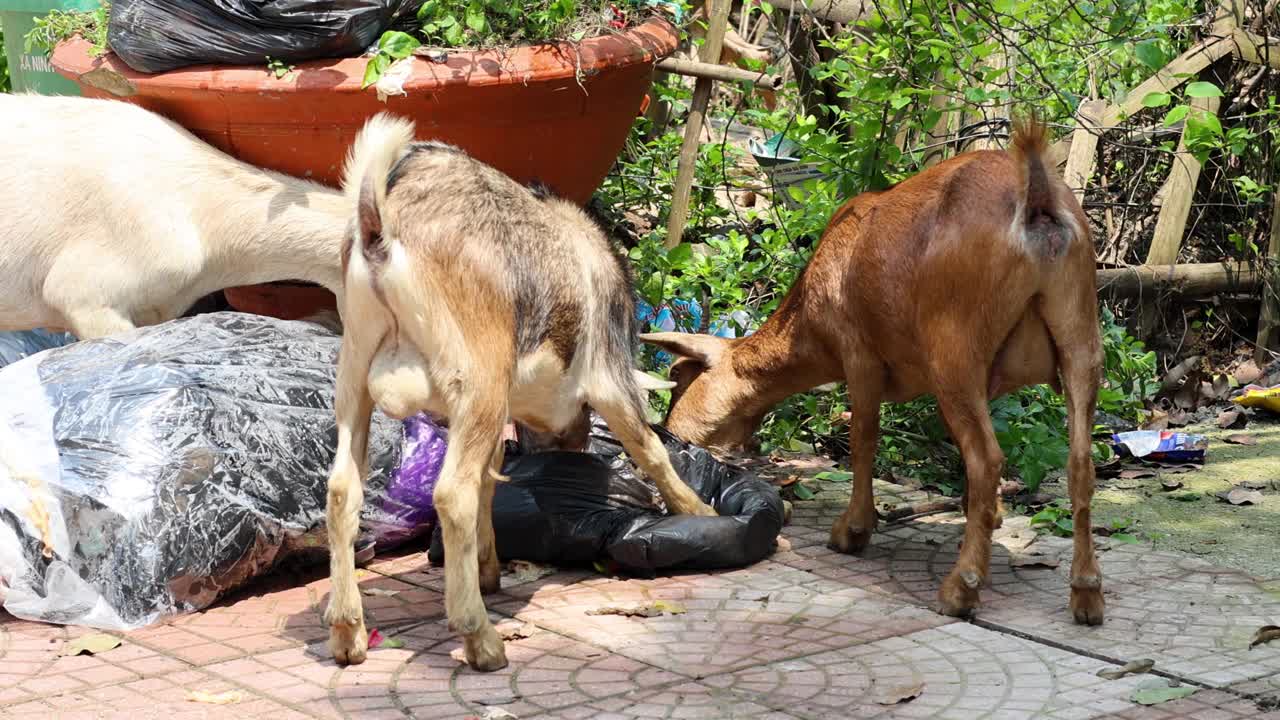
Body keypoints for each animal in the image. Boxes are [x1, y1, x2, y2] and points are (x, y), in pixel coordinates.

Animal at [325, 112, 716, 666]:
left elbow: (492, 478)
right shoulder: (606, 374)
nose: (572, 443)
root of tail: (381, 223)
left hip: (356, 373)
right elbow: (650, 447)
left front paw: (488, 569)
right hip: (479, 376)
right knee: (452, 495)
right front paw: (697, 510)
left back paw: (348, 632)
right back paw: (480, 638)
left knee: (343, 490)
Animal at [645, 117, 1105, 622]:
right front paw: (988, 515)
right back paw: (1086, 594)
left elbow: (864, 437)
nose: (671, 433)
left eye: (681, 381)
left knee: (988, 458)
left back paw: (961, 587)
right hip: (1080, 333)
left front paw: (852, 531)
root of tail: (1037, 200)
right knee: (1080, 462)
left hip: (955, 347)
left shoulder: (858, 353)